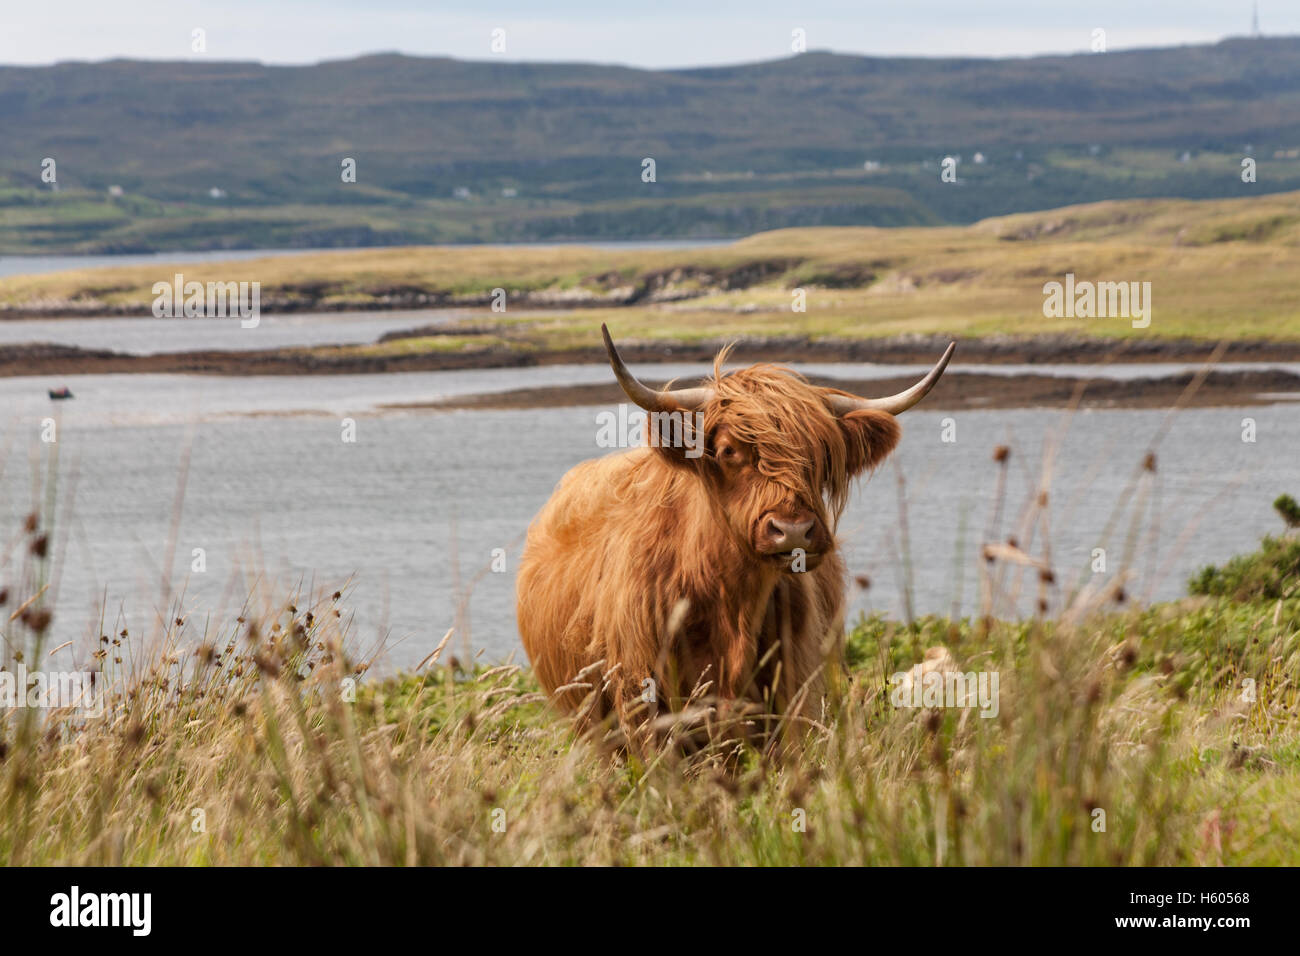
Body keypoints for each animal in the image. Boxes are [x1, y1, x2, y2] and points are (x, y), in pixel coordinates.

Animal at [517, 325, 954, 749]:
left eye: (823, 455)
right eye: (728, 451)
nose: (793, 530)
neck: (730, 598)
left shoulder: (794, 695)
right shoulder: (642, 704)